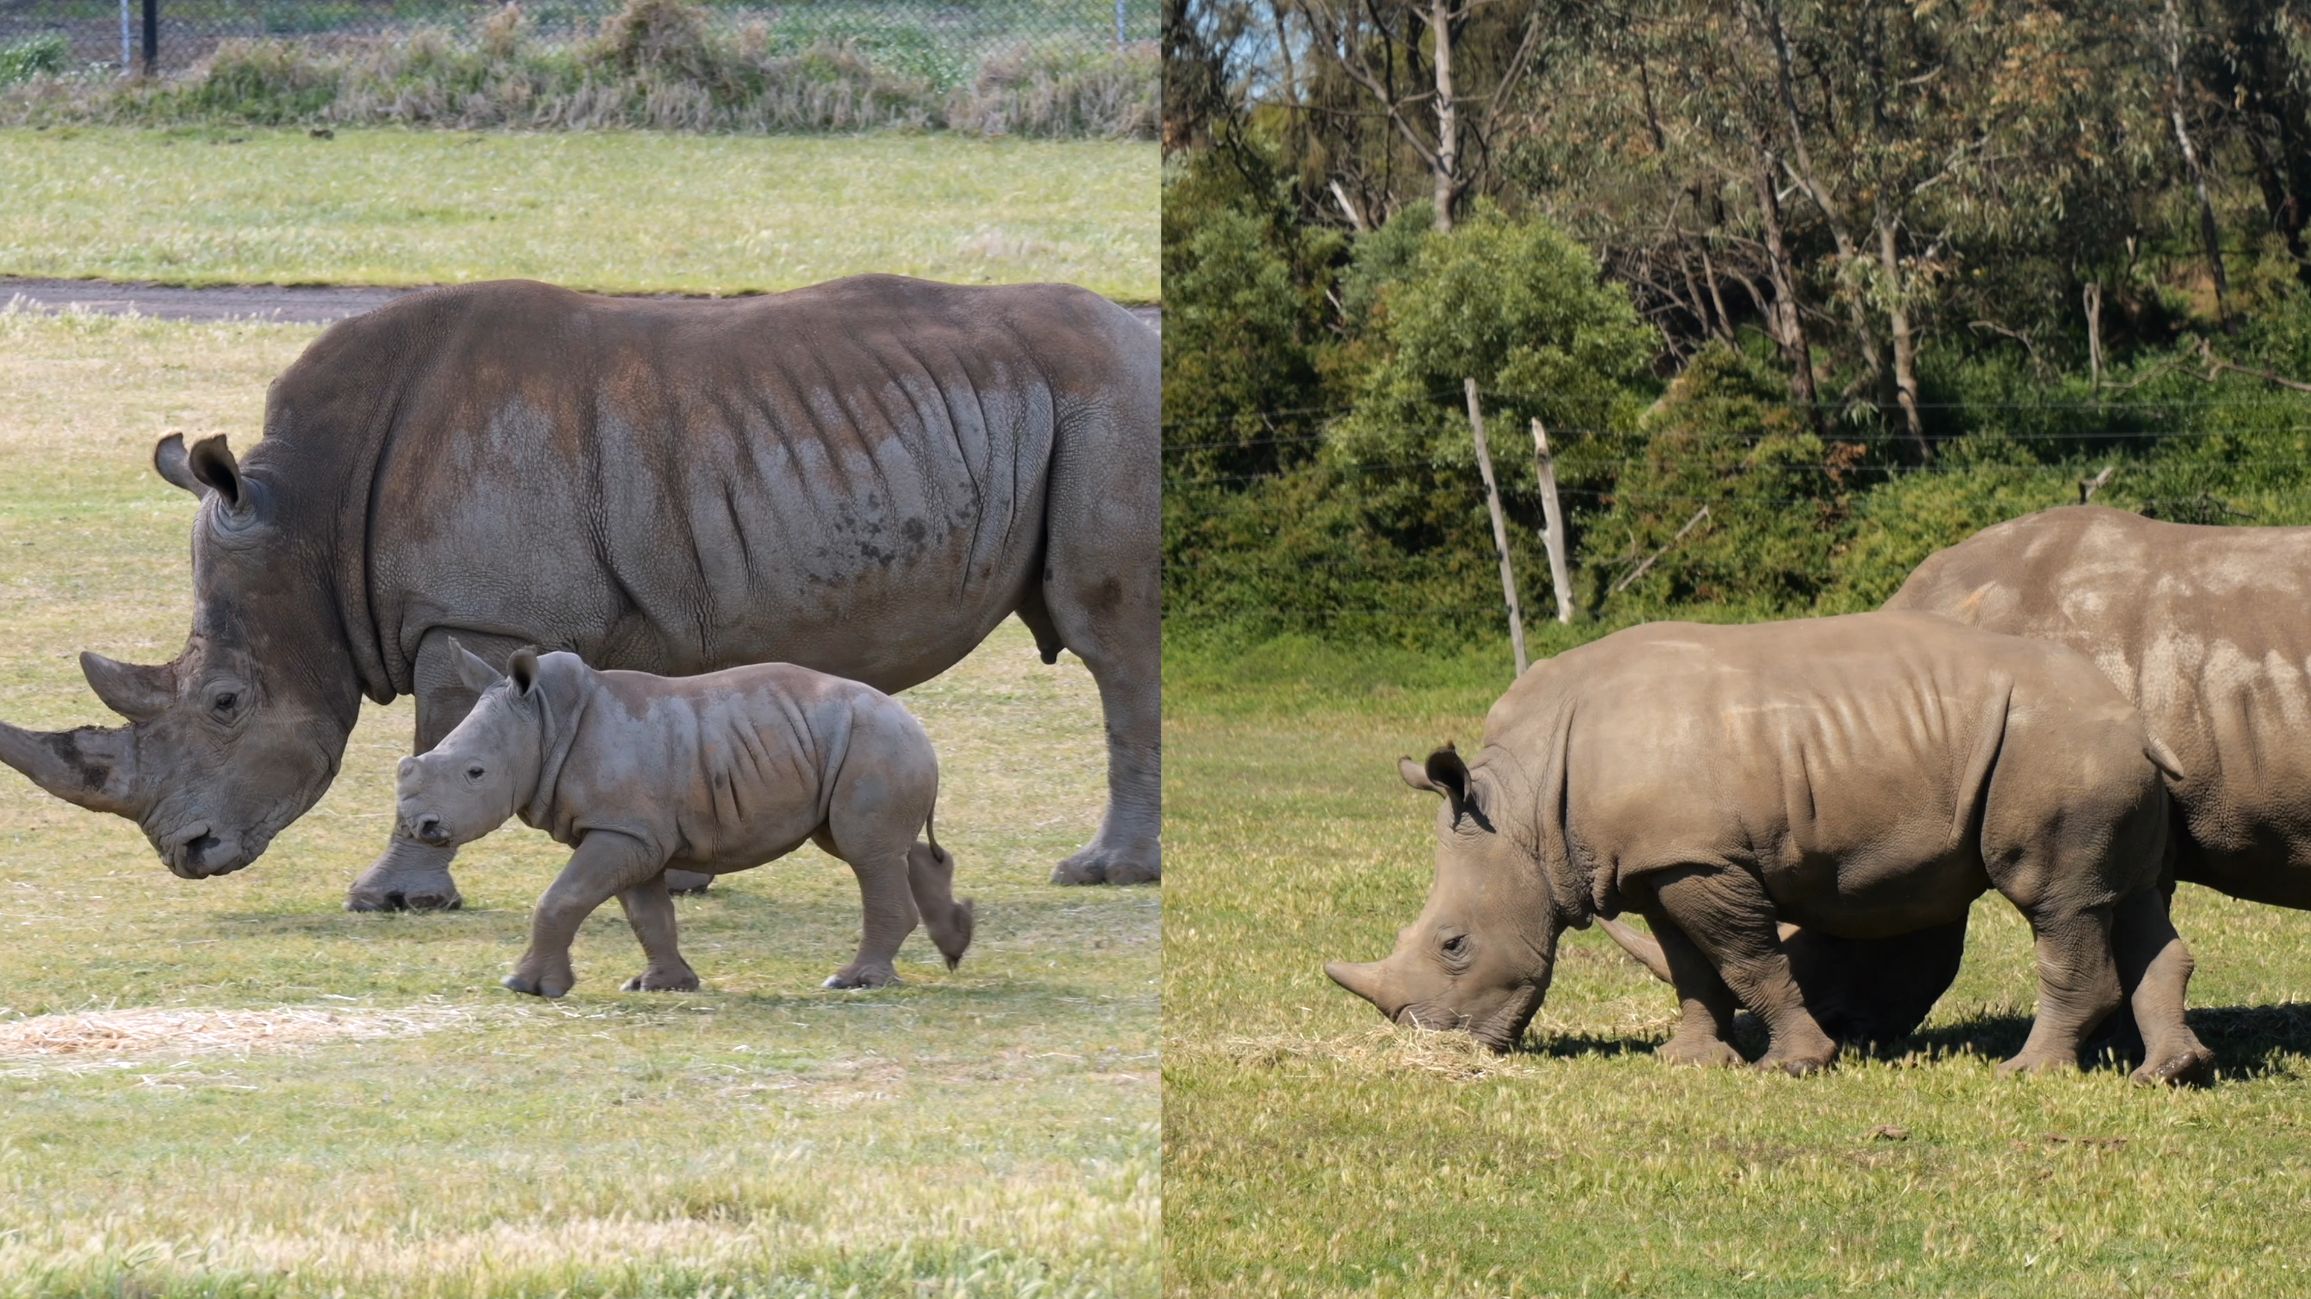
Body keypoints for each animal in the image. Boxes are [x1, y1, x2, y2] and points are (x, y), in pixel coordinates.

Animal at [0, 276, 1158, 909]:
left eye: (227, 703)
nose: (187, 855)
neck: (311, 519)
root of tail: (1143, 334)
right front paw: (683, 877)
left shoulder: (471, 611)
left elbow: (437, 730)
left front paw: (390, 898)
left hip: (1109, 398)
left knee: (1110, 639)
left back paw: (1102, 873)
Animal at [396, 643, 971, 996]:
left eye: (476, 773)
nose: (422, 827)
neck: (544, 721)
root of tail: (917, 724)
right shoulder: (631, 831)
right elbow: (647, 913)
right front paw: (660, 985)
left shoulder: (622, 830)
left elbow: (562, 897)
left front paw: (528, 987)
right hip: (858, 744)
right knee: (878, 848)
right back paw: (956, 944)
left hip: (875, 742)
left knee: (865, 853)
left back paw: (854, 982)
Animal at [1325, 612, 2216, 1083]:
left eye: (1452, 943)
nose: (1431, 1041)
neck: (1523, 807)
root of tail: (2133, 717)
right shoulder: (1662, 862)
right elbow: (1691, 967)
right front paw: (1686, 1061)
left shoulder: (1700, 861)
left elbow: (1746, 959)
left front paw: (1795, 1063)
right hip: (2094, 752)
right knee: (2127, 900)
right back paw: (2167, 1072)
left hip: (2056, 747)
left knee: (2055, 902)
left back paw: (2027, 1072)